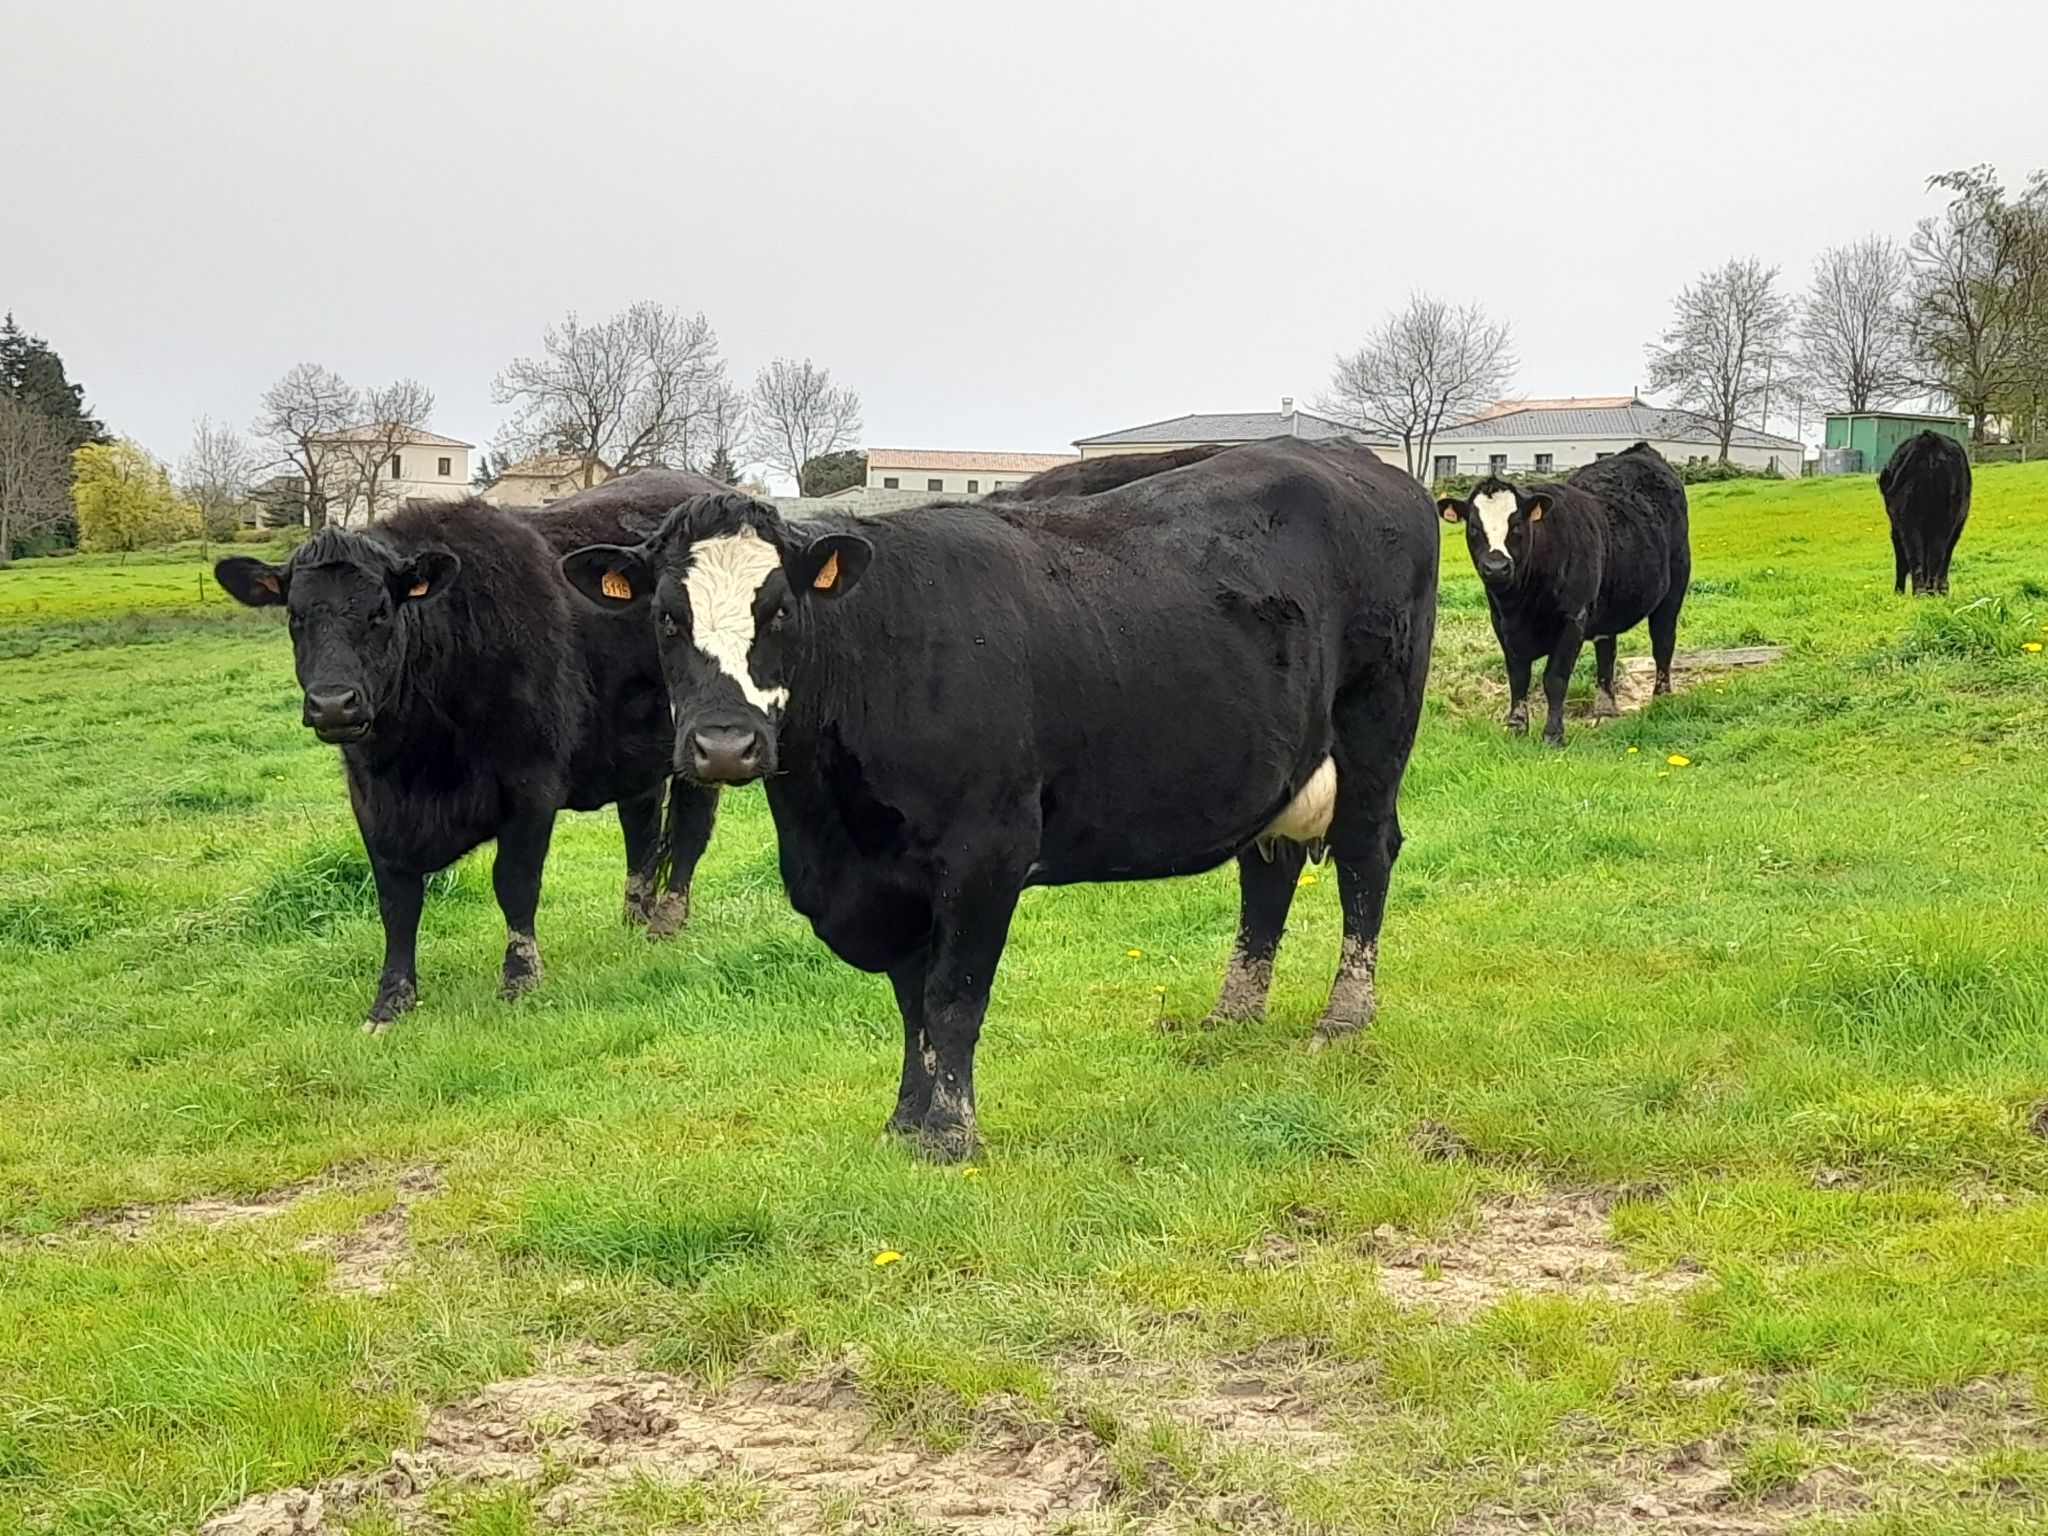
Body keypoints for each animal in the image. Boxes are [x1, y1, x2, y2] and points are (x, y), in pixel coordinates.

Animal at [214, 471, 723, 1029]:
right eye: (296, 616)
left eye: (380, 612)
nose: (333, 704)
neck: (414, 764)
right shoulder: (370, 803)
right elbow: (396, 901)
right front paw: (391, 1000)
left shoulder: (531, 787)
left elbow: (515, 882)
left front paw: (520, 978)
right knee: (642, 824)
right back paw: (635, 913)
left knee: (689, 827)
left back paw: (666, 920)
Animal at [559, 438, 1438, 1160]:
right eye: (665, 617)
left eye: (779, 611)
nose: (723, 745)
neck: (833, 827)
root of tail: (1353, 459)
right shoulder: (885, 879)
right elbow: (912, 1004)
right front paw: (905, 1121)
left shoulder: (986, 852)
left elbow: (953, 999)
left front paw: (950, 1134)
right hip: (1279, 760)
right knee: (1269, 868)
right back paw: (1234, 1013)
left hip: (1375, 729)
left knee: (1366, 856)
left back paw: (1344, 1016)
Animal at [1437, 442, 1689, 745]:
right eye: (1474, 527)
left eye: (1517, 525)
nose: (1496, 567)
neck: (1519, 605)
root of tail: (1641, 450)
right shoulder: (1502, 625)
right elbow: (1518, 678)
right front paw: (1516, 727)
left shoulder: (1572, 618)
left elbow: (1555, 678)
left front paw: (1553, 734)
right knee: (1607, 651)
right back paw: (1605, 711)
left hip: (1673, 589)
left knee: (1663, 642)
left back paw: (1661, 697)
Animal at [1878, 431, 1971, 595]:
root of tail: (1930, 438)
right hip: (1941, 519)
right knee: (1934, 552)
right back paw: (1930, 590)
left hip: (1909, 517)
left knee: (1916, 554)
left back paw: (1921, 591)